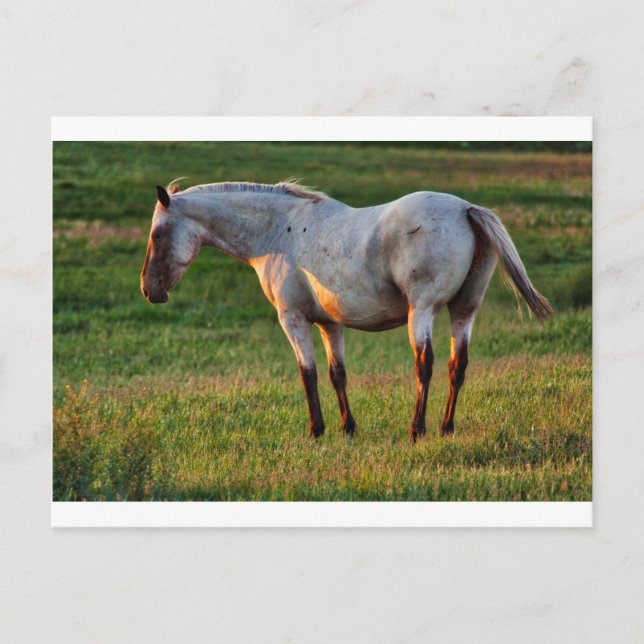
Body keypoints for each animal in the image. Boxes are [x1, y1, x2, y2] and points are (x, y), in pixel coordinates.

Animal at [141, 180, 553, 442]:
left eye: (157, 235)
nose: (149, 290)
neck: (278, 231)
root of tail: (466, 209)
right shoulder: (329, 324)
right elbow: (336, 373)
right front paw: (347, 428)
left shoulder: (293, 320)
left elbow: (307, 374)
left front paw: (316, 431)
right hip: (464, 311)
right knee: (457, 366)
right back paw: (446, 428)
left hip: (422, 312)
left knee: (425, 364)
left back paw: (417, 430)